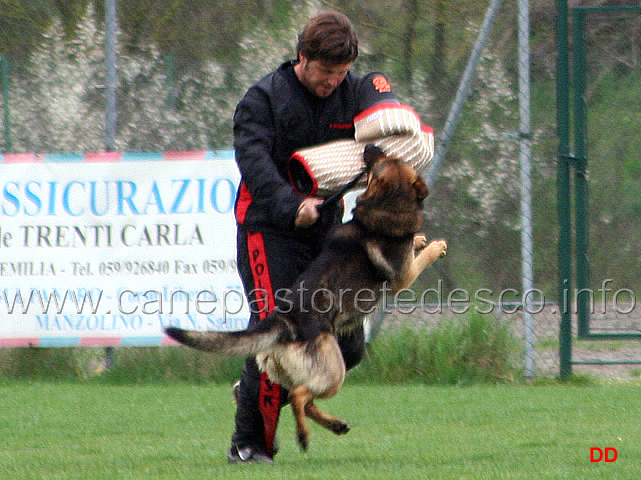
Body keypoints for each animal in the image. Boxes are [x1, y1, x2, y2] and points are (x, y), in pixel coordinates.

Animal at [165, 144, 444, 452]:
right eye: (386, 160)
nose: (371, 147)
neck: (388, 204)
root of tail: (283, 322)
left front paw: (419, 240)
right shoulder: (402, 277)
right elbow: (422, 259)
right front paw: (435, 246)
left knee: (299, 398)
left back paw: (333, 425)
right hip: (334, 371)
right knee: (299, 396)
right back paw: (303, 436)